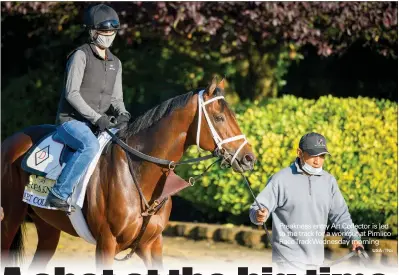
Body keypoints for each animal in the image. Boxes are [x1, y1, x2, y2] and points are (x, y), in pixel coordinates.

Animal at [0, 78, 256, 272]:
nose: (249, 158)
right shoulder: (106, 245)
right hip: (11, 218)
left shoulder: (152, 246)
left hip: (48, 228)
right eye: (219, 118)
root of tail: (12, 141)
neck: (140, 173)